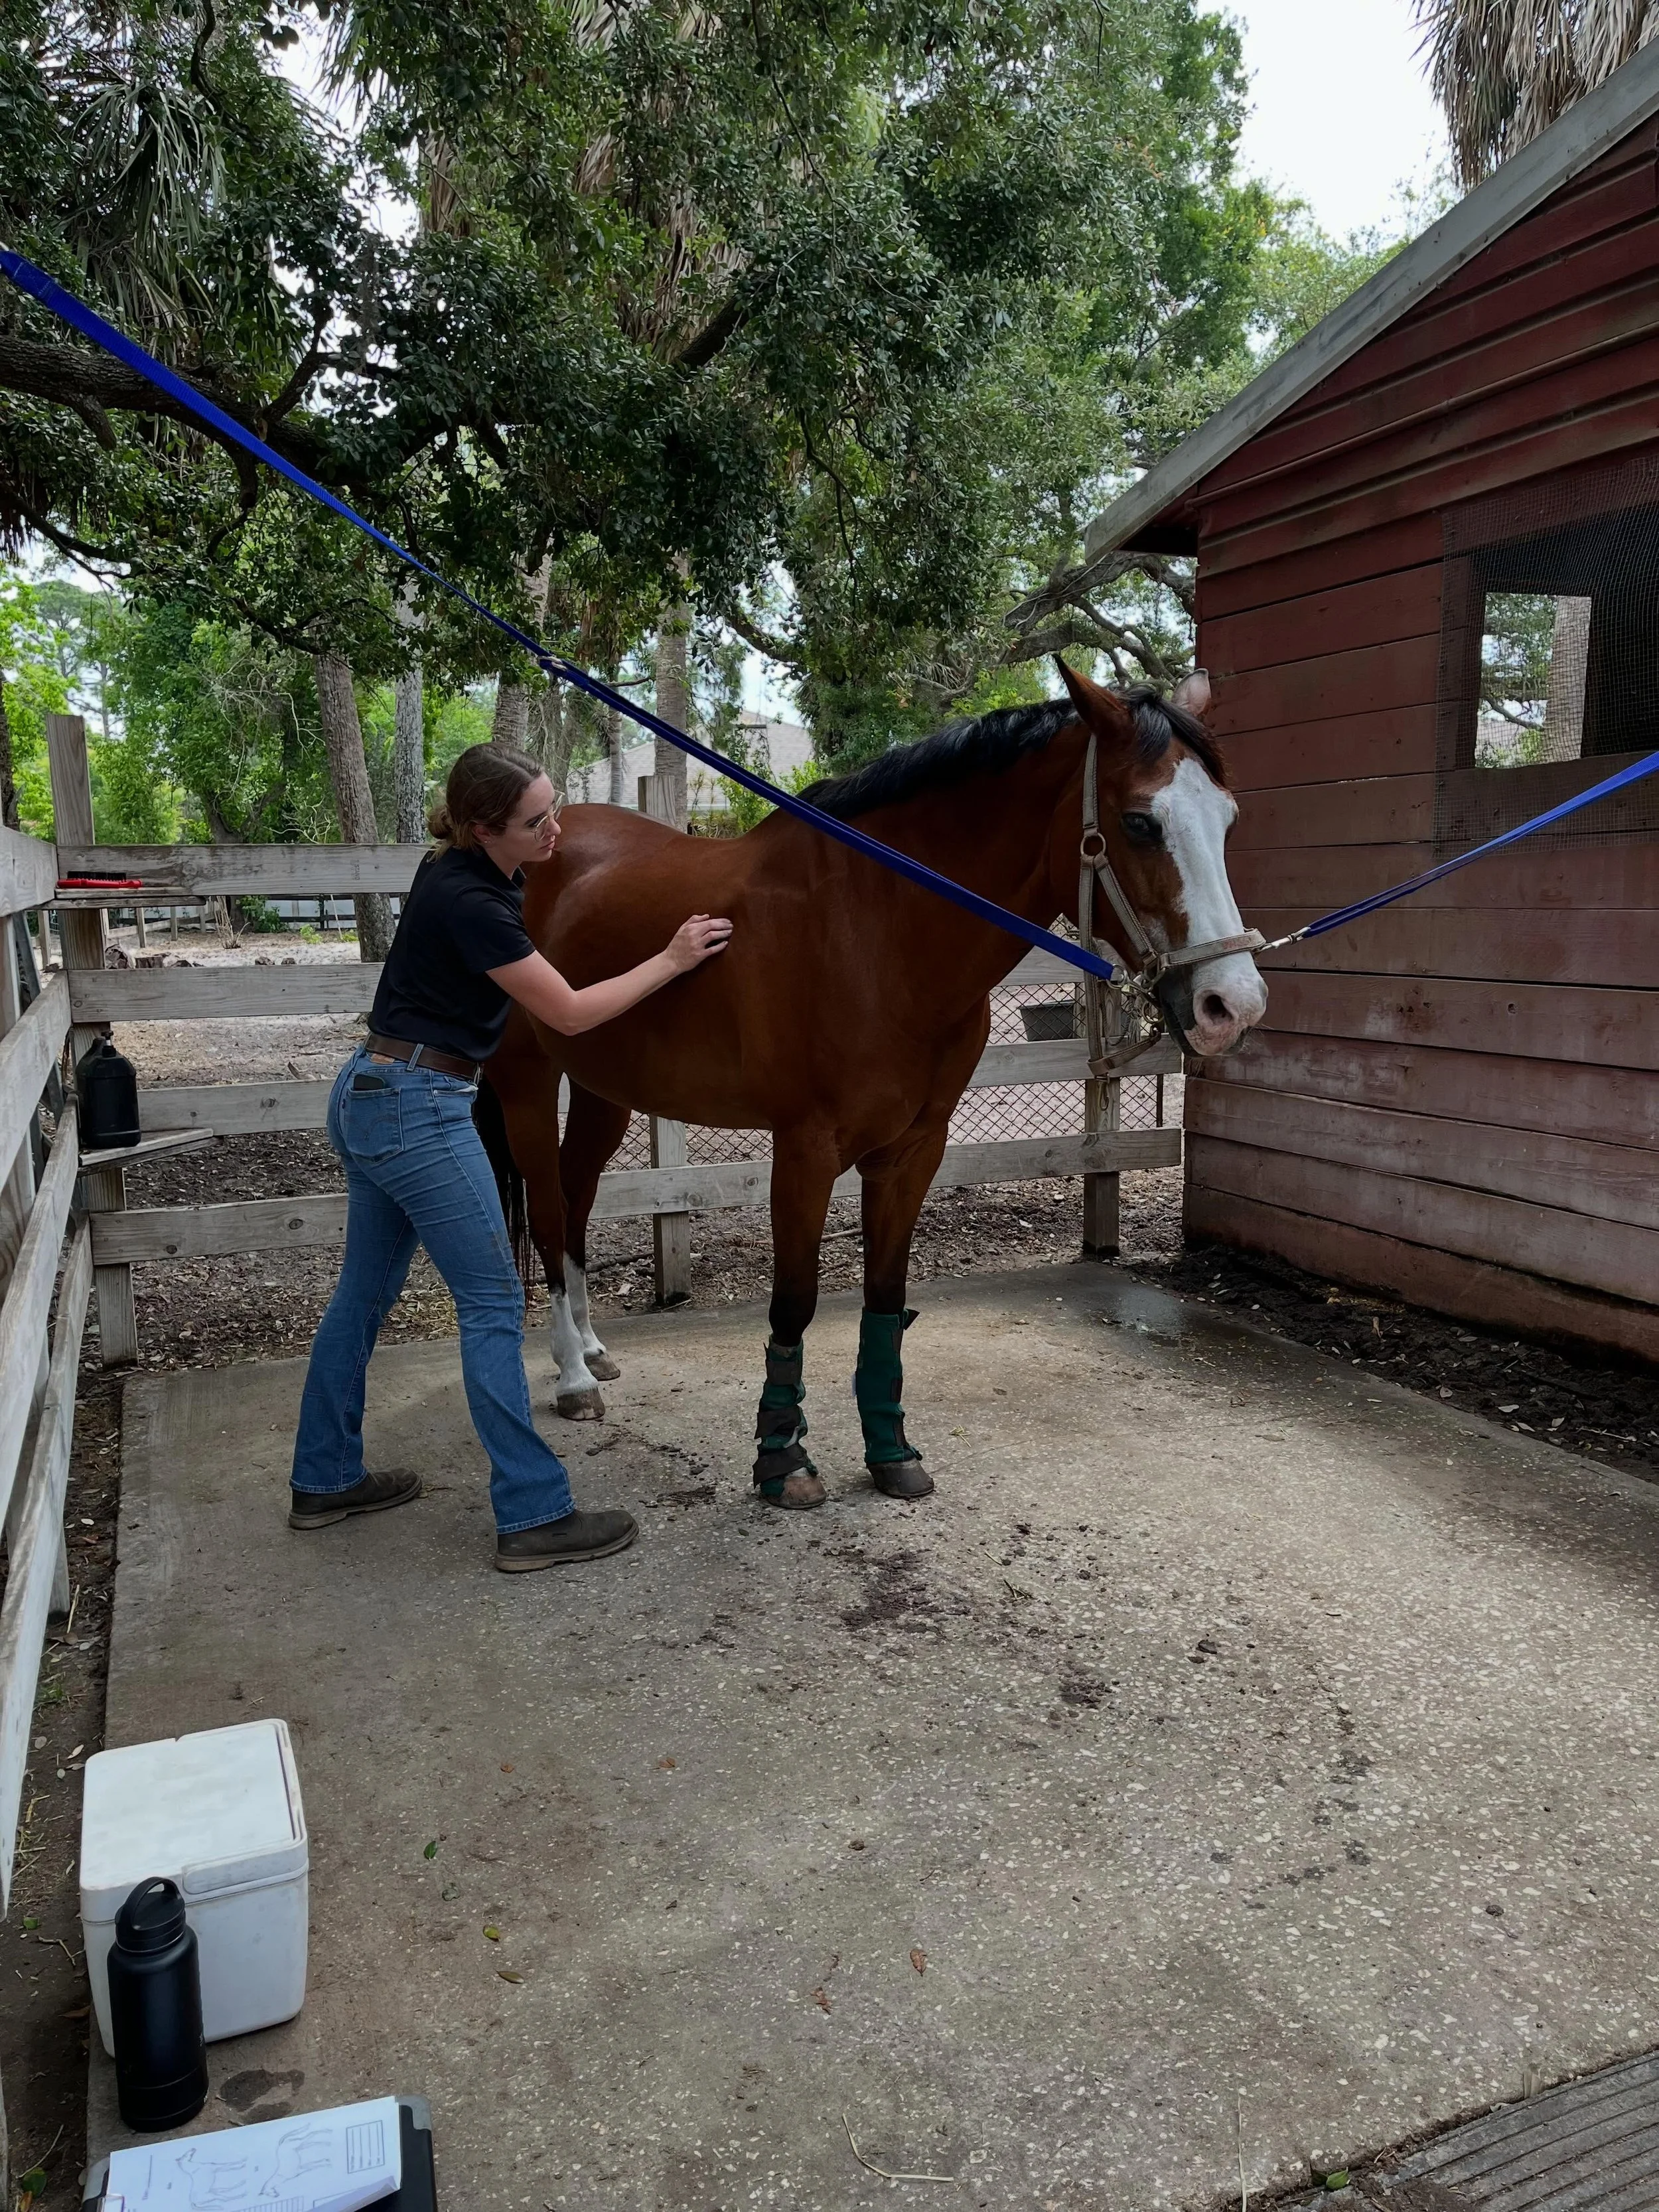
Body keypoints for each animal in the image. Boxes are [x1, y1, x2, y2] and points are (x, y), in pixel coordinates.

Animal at [477, 659, 1267, 1509]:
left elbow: (886, 1296)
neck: (875, 932)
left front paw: (890, 1451)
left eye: (1228, 820)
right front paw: (782, 1459)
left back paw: (592, 1350)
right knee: (549, 1215)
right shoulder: (806, 1151)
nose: (1231, 1005)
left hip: (604, 1090)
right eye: (1139, 823)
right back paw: (570, 1378)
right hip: (529, 1083)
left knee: (577, 1201)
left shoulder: (914, 1148)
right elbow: (794, 1302)